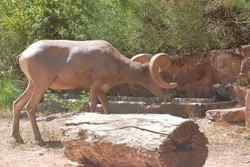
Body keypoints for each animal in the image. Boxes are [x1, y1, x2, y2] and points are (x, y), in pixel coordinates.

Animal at [11, 39, 176, 144]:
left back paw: (18, 138)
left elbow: (106, 108)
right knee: (30, 108)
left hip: (32, 85)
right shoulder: (94, 88)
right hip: (41, 85)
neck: (113, 62)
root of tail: (23, 55)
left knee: (17, 104)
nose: (167, 96)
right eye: (155, 76)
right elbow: (93, 108)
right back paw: (39, 140)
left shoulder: (101, 91)